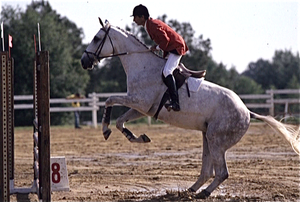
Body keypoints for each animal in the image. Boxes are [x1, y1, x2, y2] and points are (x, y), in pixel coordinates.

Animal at [81, 19, 298, 199]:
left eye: (96, 38)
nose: (84, 62)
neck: (141, 64)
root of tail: (247, 111)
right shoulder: (142, 108)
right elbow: (120, 121)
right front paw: (138, 137)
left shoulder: (139, 102)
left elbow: (109, 100)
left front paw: (105, 129)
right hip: (207, 136)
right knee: (207, 171)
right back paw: (190, 190)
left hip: (216, 139)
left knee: (221, 172)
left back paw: (203, 194)